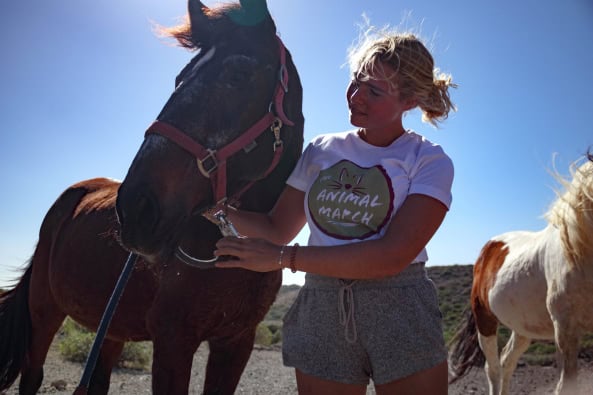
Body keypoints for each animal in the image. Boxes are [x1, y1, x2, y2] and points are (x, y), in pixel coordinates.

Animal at [0, 0, 302, 395]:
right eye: (178, 80)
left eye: (237, 75)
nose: (135, 209)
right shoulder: (173, 340)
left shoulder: (236, 343)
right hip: (44, 310)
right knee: (33, 375)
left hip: (111, 327)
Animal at [448, 154, 592, 395]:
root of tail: (489, 248)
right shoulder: (565, 329)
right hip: (485, 321)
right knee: (493, 368)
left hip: (522, 328)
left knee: (507, 361)